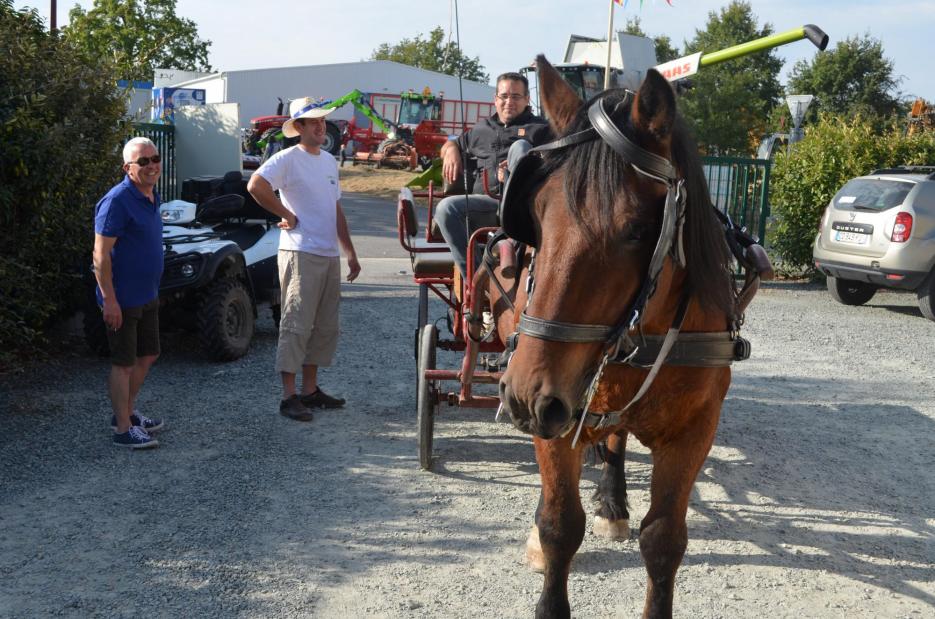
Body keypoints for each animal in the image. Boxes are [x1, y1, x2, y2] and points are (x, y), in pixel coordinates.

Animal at [498, 57, 752, 619]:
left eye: (637, 229)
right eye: (537, 216)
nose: (524, 396)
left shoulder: (694, 430)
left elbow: (663, 539)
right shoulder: (556, 411)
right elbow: (559, 523)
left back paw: (613, 500)